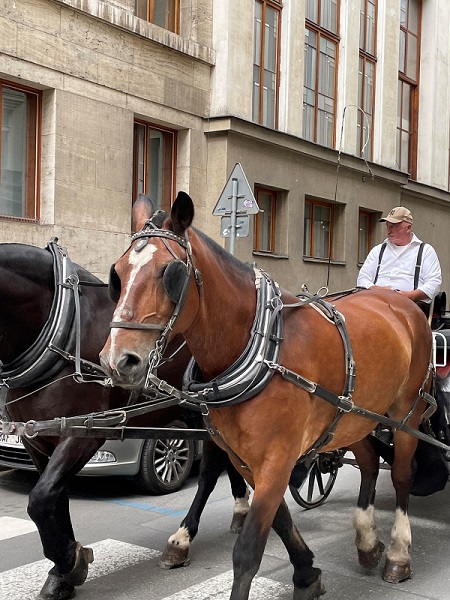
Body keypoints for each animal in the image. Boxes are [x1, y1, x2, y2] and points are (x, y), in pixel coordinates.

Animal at [0, 239, 246, 600]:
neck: (64, 330)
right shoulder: (37, 438)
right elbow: (53, 497)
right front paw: (65, 567)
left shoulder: (84, 433)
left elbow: (41, 499)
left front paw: (70, 562)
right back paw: (240, 509)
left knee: (210, 472)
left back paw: (183, 539)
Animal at [100, 192, 438, 600]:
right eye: (117, 275)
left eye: (171, 274)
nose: (118, 360)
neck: (261, 347)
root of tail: (401, 303)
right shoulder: (245, 457)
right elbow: (279, 519)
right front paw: (307, 573)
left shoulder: (278, 457)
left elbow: (248, 550)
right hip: (353, 416)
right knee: (371, 462)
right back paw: (368, 542)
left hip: (406, 414)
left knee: (402, 474)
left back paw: (398, 554)